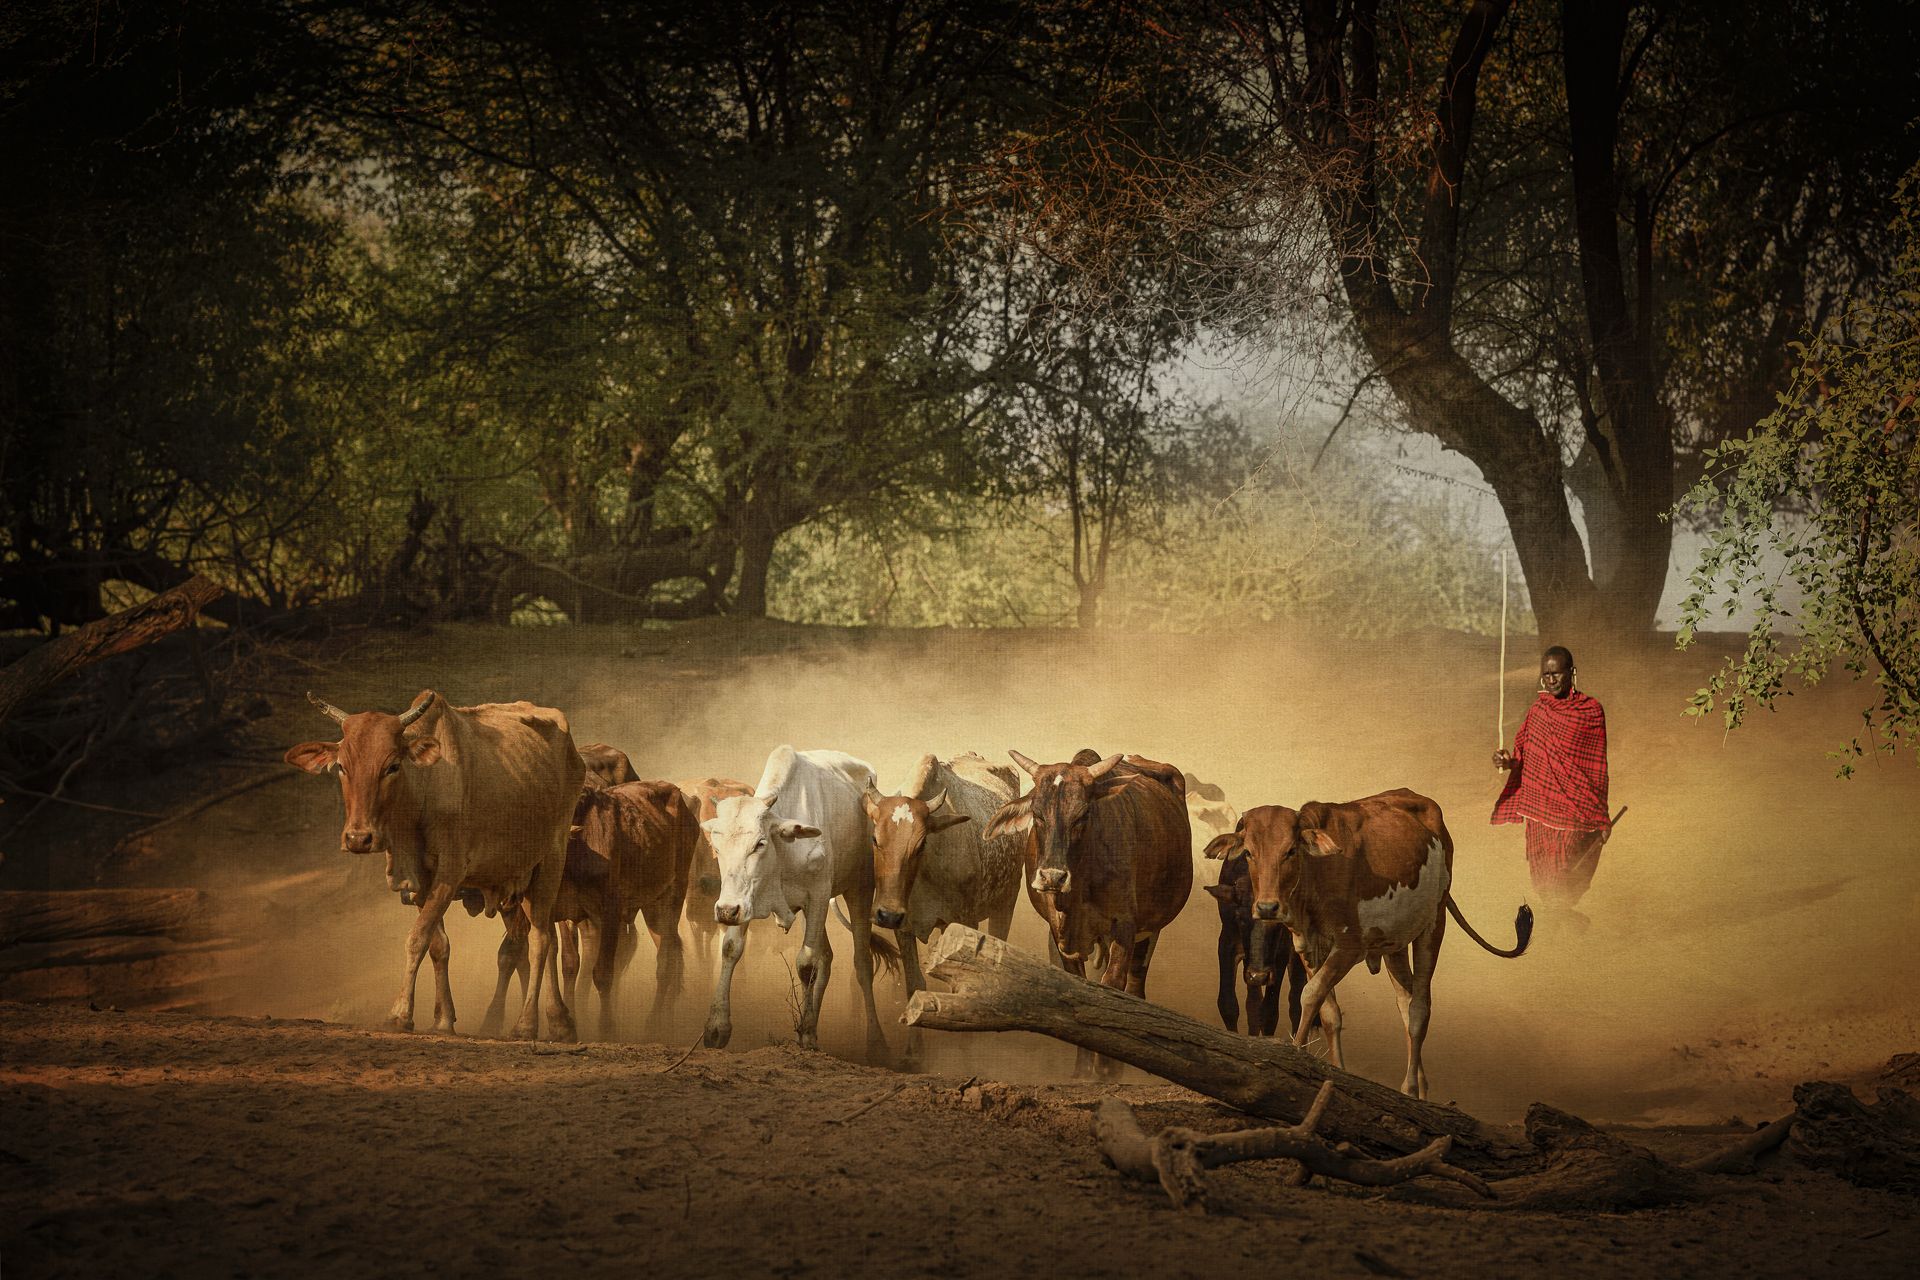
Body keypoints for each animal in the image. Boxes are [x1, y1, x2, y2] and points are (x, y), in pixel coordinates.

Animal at [702, 744, 894, 1059]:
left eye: (759, 843)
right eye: (716, 847)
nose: (725, 910)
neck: (782, 854)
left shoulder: (817, 896)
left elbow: (806, 963)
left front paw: (805, 1035)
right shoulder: (746, 900)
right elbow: (731, 949)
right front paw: (717, 1028)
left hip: (859, 889)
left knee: (861, 962)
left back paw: (876, 1042)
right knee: (827, 958)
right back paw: (813, 1026)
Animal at [864, 756, 1029, 1066]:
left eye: (921, 844)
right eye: (875, 839)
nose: (885, 915)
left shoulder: (965, 920)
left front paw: (966, 1051)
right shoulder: (905, 927)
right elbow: (914, 983)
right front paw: (914, 1054)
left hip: (1005, 901)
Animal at [983, 744, 1190, 1074]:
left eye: (1082, 815)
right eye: (1037, 815)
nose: (1052, 877)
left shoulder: (1125, 927)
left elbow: (1113, 989)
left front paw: (1105, 1071)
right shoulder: (1060, 935)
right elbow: (1080, 996)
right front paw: (1082, 1071)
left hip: (1151, 930)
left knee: (1135, 987)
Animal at [1205, 790, 1536, 1105]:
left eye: (1290, 851)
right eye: (1249, 852)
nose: (1267, 907)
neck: (1318, 873)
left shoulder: (1350, 946)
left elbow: (1309, 994)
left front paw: (1294, 1055)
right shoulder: (1307, 948)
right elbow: (1327, 1010)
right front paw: (1336, 1072)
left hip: (1433, 925)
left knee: (1419, 1009)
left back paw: (1409, 1088)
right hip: (1395, 946)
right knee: (1405, 1003)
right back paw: (1422, 1090)